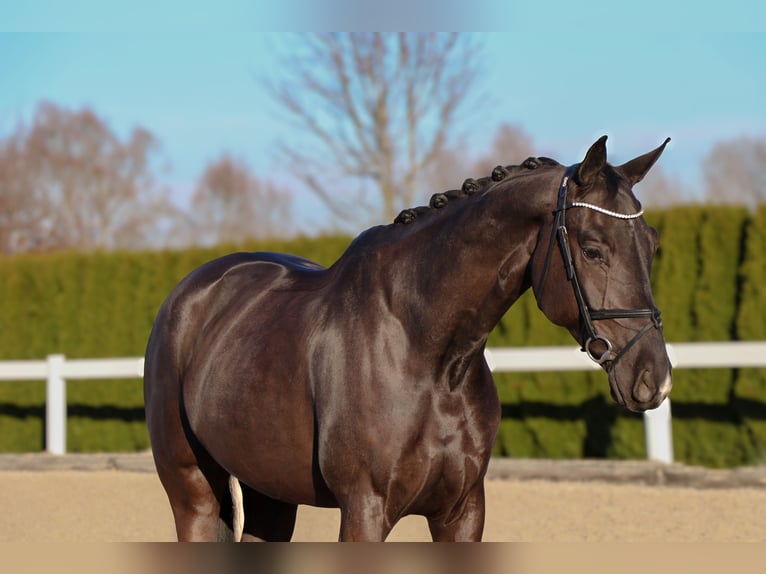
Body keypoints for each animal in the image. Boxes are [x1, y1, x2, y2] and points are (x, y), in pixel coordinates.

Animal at [142, 137, 672, 544]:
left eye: (652, 244)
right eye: (593, 249)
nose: (654, 379)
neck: (426, 352)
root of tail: (189, 293)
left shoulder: (462, 512)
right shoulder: (364, 511)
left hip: (270, 492)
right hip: (192, 490)